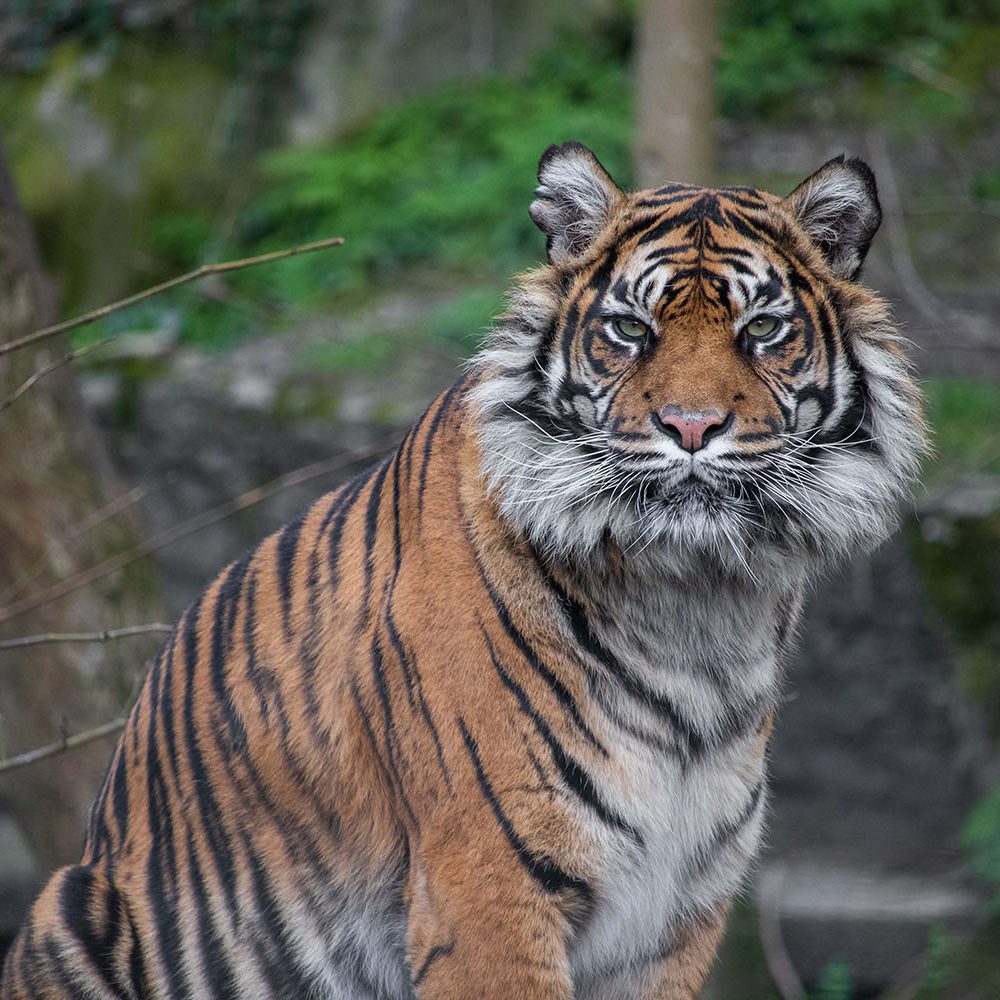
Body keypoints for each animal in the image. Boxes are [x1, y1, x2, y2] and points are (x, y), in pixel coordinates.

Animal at [1, 143, 920, 1000]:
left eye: (761, 330)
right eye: (630, 330)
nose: (690, 427)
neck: (696, 605)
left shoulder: (675, 915)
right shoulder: (488, 890)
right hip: (68, 907)